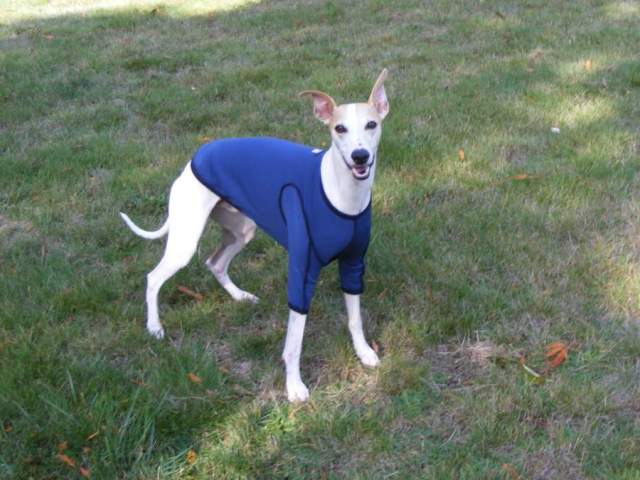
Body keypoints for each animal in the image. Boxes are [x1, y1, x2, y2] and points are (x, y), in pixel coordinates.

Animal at [120, 69, 390, 402]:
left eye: (371, 124)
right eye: (339, 128)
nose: (360, 156)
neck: (340, 193)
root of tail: (196, 156)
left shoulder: (353, 264)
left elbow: (355, 319)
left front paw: (363, 352)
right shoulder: (302, 271)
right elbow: (294, 342)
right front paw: (294, 386)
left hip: (241, 231)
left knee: (214, 262)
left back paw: (240, 296)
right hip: (185, 241)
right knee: (154, 277)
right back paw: (154, 326)